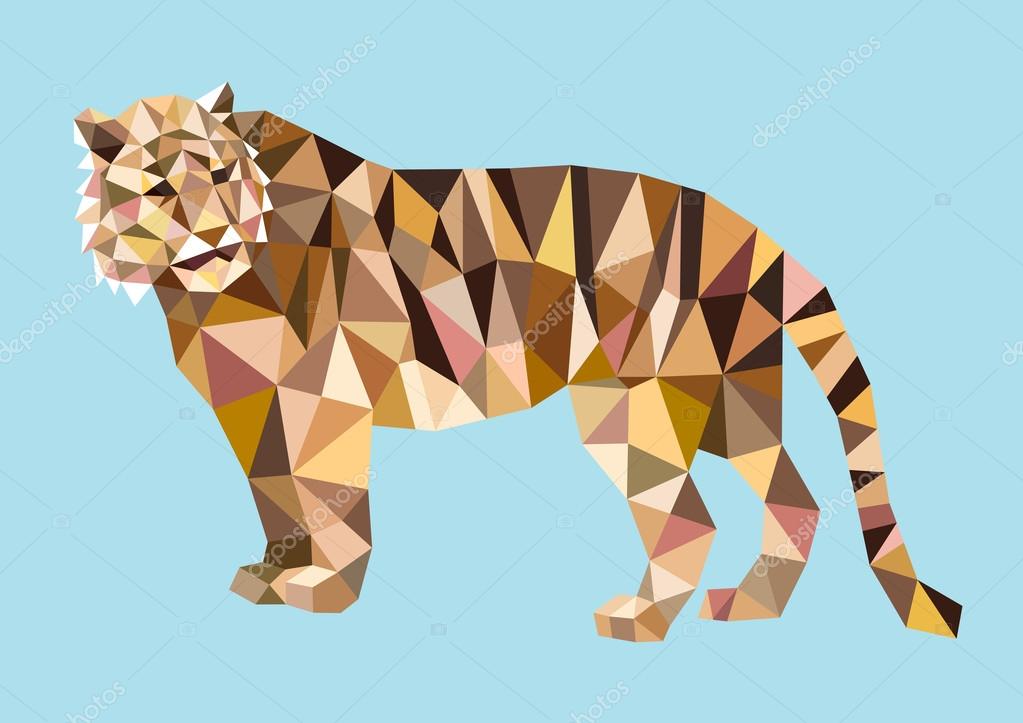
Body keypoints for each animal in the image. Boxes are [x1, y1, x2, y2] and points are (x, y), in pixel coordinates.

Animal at [73, 84, 960, 641]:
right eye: (160, 188)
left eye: (221, 174)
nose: (214, 232)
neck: (200, 290)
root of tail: (744, 228)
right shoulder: (251, 404)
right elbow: (274, 496)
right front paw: (270, 573)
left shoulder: (324, 401)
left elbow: (328, 501)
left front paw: (326, 593)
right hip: (726, 402)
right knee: (794, 496)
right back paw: (750, 606)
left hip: (631, 410)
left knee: (690, 518)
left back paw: (639, 621)